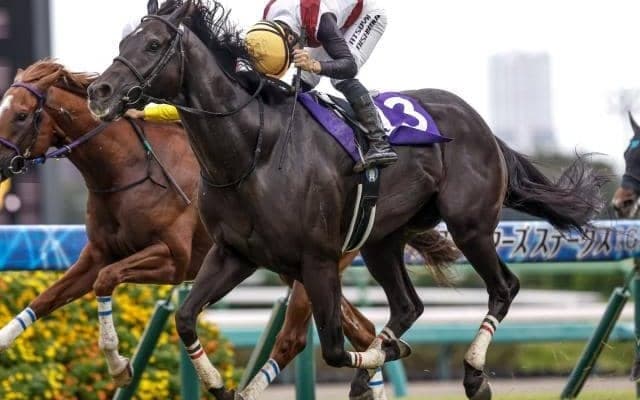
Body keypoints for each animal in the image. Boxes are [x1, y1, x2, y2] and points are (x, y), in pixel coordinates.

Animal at [0, 59, 456, 400]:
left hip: (316, 265)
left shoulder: (172, 259)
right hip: (296, 268)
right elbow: (45, 299)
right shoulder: (96, 253)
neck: (128, 169)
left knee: (297, 339)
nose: (2, 165)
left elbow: (107, 281)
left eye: (20, 115)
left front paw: (118, 364)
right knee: (362, 331)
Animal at [87, 1, 606, 399]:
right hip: (381, 240)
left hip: (471, 226)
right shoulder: (233, 254)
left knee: (504, 287)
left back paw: (473, 374)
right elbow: (186, 318)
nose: (99, 90)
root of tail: (481, 125)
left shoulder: (317, 261)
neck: (254, 153)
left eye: (154, 45)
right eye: (122, 46)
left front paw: (376, 359)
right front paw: (218, 384)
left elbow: (335, 348)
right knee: (409, 305)